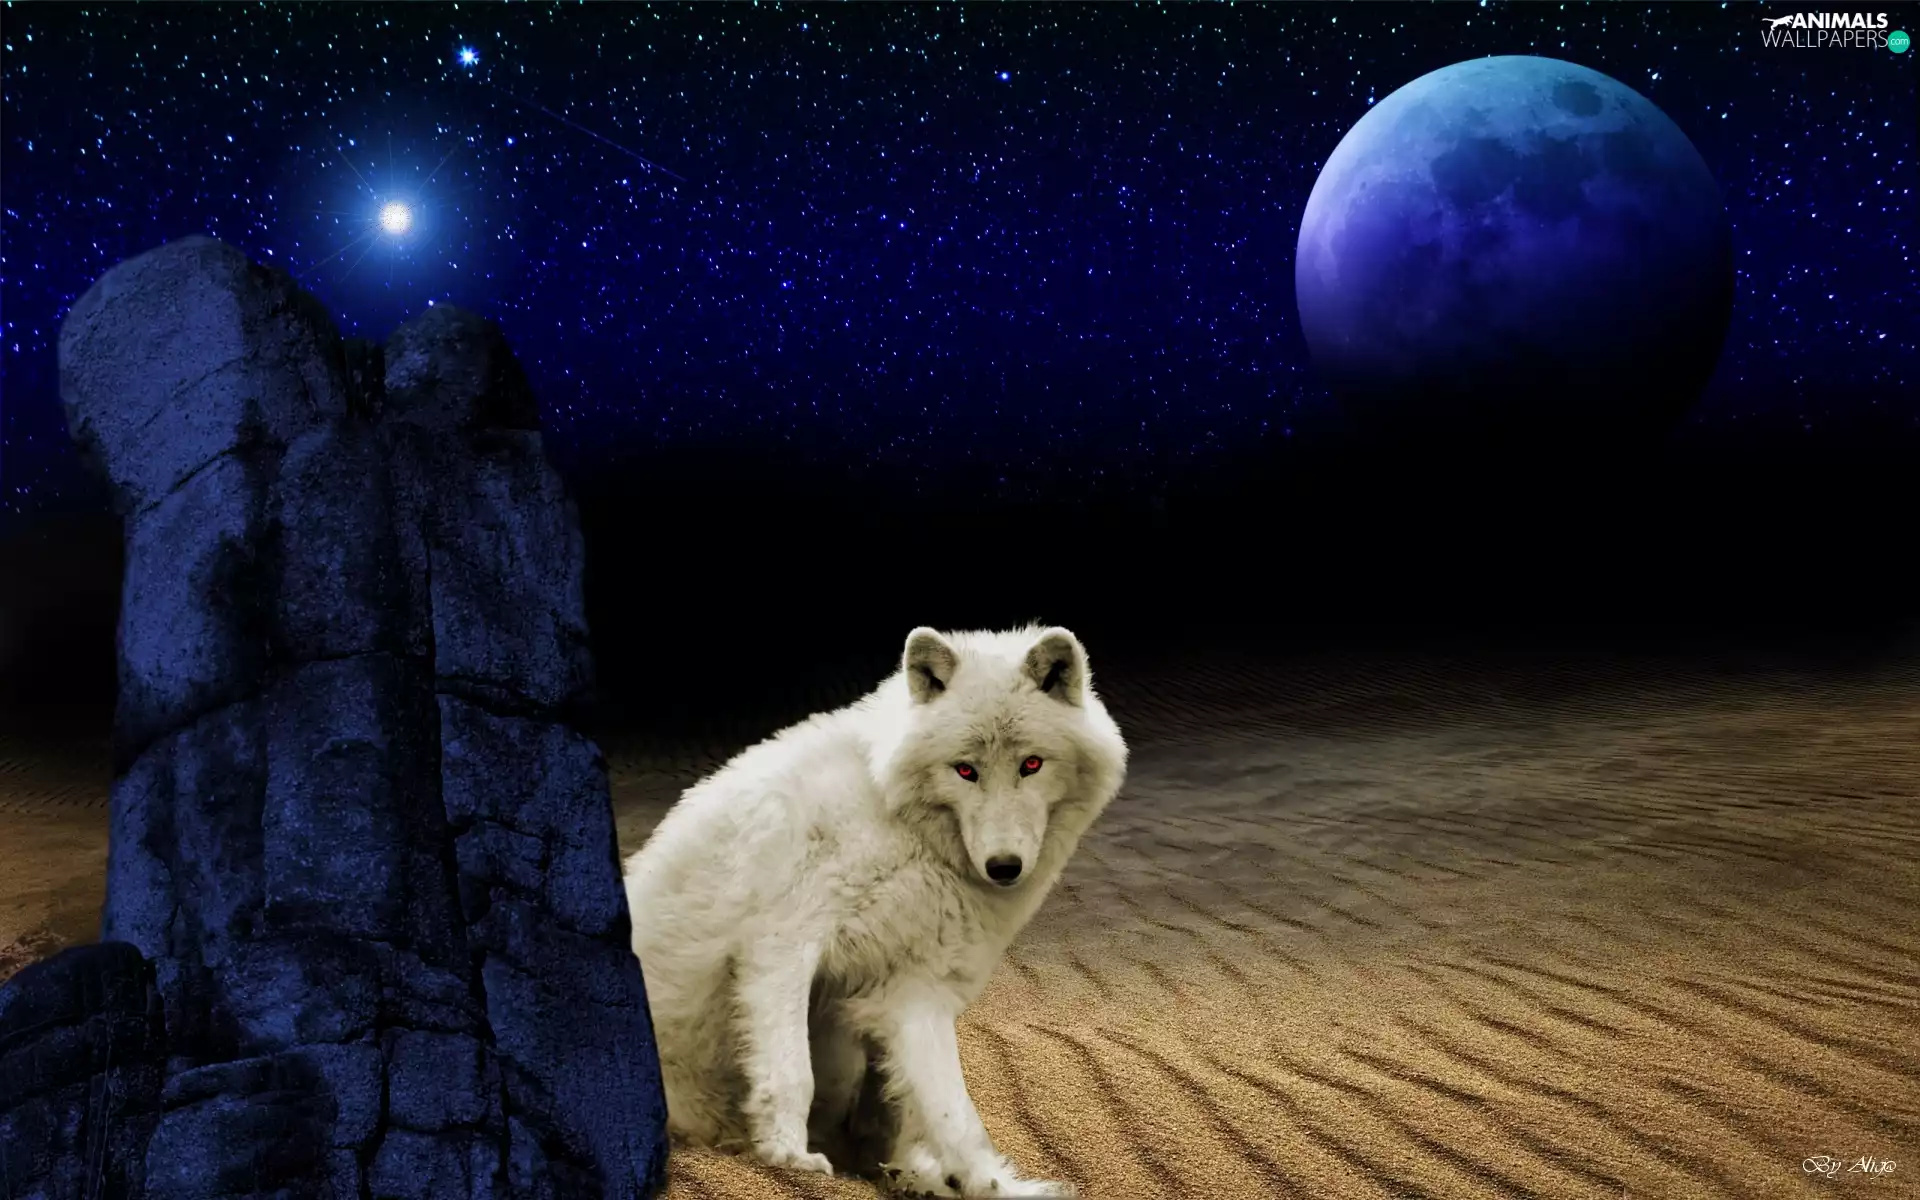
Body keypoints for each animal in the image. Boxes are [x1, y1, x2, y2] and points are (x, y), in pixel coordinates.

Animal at [623, 624, 1128, 1198]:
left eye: (1032, 765)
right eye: (965, 770)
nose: (1004, 867)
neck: (901, 829)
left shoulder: (915, 991)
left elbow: (955, 1115)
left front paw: (989, 1184)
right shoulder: (782, 944)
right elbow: (791, 1072)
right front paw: (788, 1156)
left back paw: (915, 1175)